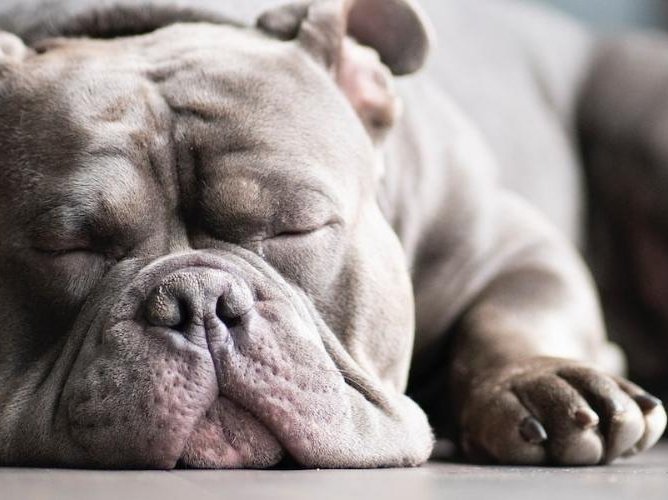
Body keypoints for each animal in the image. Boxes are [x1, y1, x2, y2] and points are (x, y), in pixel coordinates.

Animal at [0, 0, 664, 468]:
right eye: (71, 246)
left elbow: (511, 315)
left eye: (297, 227)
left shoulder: (512, 247)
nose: (199, 300)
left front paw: (539, 380)